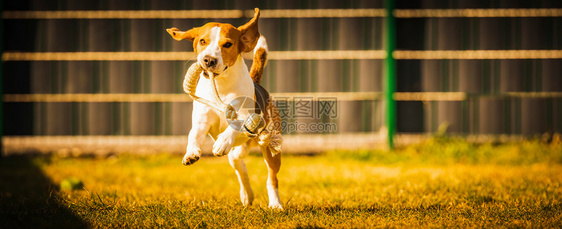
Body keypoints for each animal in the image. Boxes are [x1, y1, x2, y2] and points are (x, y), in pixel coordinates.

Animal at [165, 8, 280, 209]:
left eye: (227, 44)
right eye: (202, 41)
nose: (209, 60)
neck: (220, 85)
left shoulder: (247, 117)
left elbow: (235, 124)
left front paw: (222, 141)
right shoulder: (201, 121)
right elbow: (193, 135)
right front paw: (191, 153)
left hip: (270, 147)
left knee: (271, 178)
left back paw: (275, 204)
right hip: (238, 153)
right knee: (239, 164)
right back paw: (246, 195)